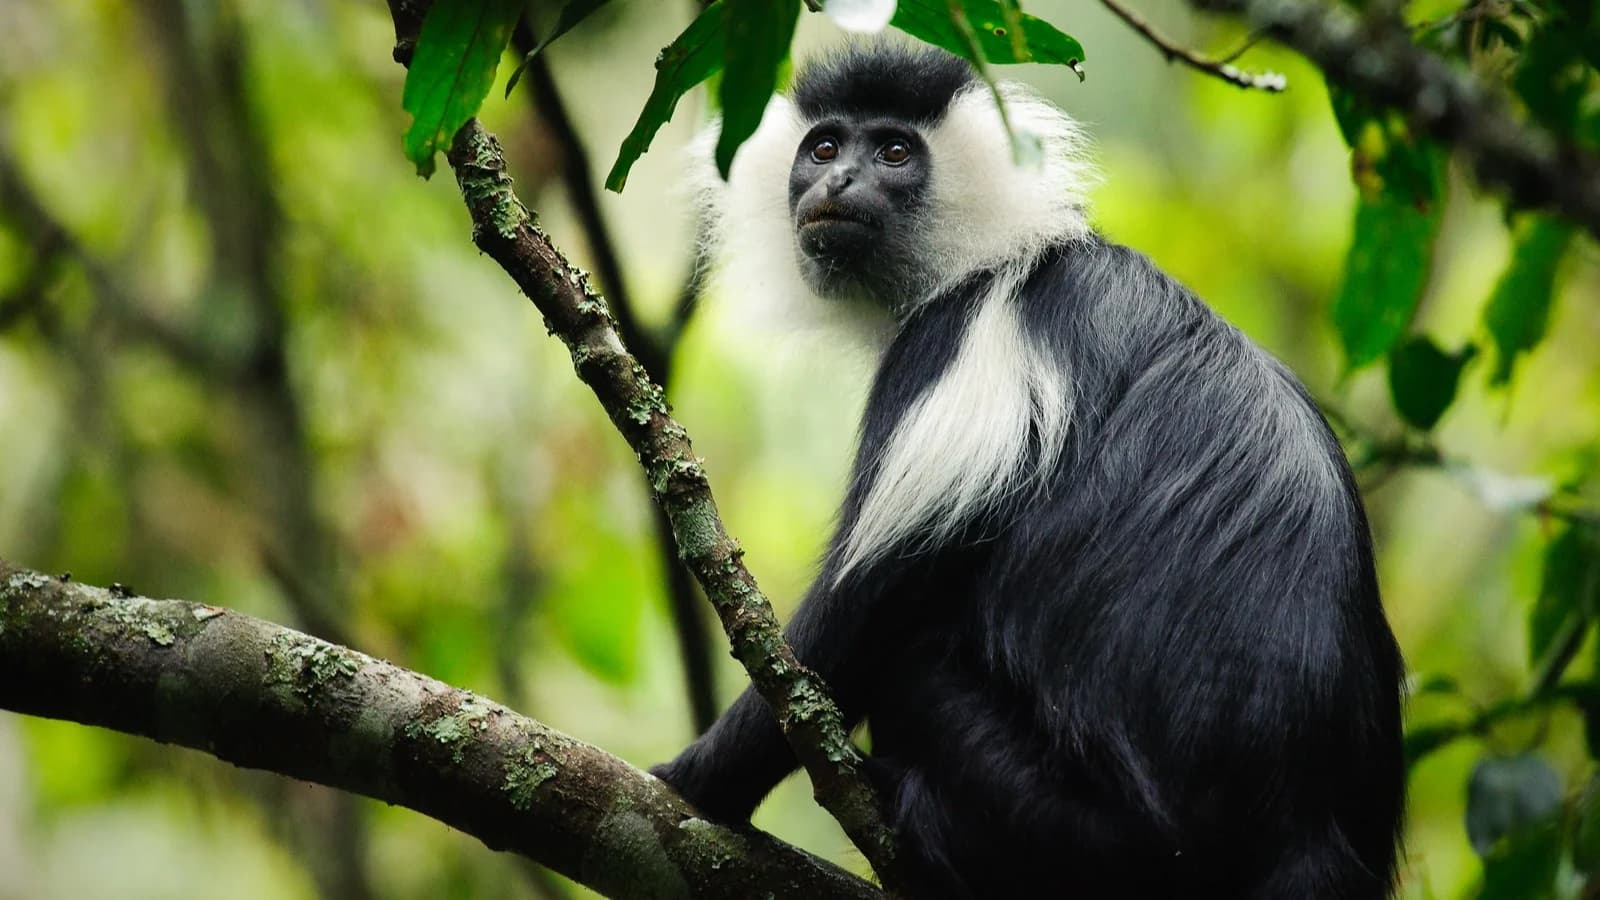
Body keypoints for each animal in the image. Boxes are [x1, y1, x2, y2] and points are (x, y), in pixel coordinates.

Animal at [652, 44, 1405, 900]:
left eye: (894, 152)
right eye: (824, 147)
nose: (836, 182)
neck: (999, 248)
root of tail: (1300, 825)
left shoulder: (959, 338)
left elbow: (857, 615)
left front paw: (692, 781)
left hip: (1084, 833)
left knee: (912, 663)